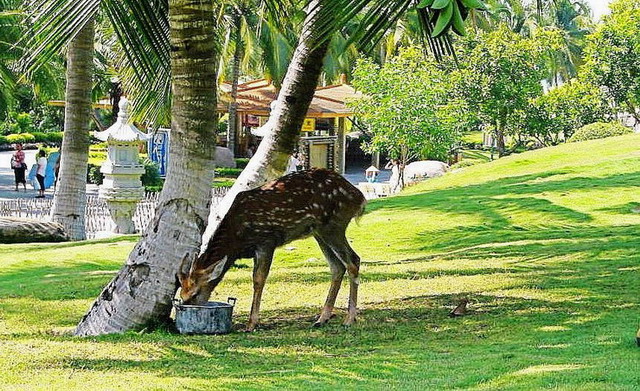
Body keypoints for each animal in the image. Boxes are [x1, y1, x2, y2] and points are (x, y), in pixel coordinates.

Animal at [178, 168, 368, 330]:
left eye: (194, 294)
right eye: (182, 295)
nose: (184, 309)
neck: (237, 240)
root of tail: (359, 198)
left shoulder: (266, 241)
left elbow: (258, 279)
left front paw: (252, 324)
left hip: (334, 224)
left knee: (353, 260)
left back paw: (349, 319)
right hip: (318, 231)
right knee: (337, 266)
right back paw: (322, 318)